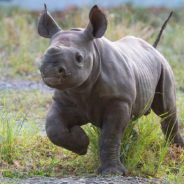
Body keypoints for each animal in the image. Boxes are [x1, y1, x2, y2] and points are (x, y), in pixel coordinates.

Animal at [38, 5, 183, 175]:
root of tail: (153, 49)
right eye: (44, 55)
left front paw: (112, 172)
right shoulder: (64, 100)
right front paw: (82, 144)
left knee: (166, 110)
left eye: (79, 58)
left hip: (163, 66)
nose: (50, 70)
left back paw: (176, 150)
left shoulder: (119, 100)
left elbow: (110, 135)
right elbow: (53, 127)